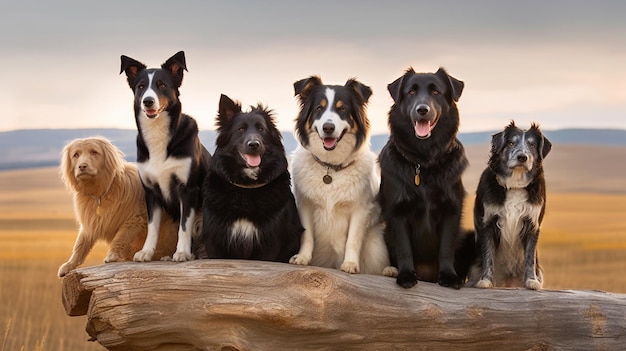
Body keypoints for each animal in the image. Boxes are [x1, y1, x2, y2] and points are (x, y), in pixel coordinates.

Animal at [57, 138, 177, 278]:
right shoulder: (92, 221)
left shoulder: (135, 217)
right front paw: (69, 265)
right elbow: (80, 245)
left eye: (94, 152)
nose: (82, 166)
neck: (100, 192)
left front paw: (112, 256)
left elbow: (121, 237)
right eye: (76, 155)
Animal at [201, 95, 302, 262]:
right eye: (240, 129)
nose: (254, 144)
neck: (247, 188)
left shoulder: (270, 243)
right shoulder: (214, 241)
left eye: (261, 129)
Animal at [376, 68, 468, 288]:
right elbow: (404, 248)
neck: (423, 162)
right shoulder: (397, 212)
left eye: (435, 92)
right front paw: (406, 275)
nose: (422, 110)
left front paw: (449, 276)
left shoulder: (451, 210)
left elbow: (446, 248)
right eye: (411, 92)